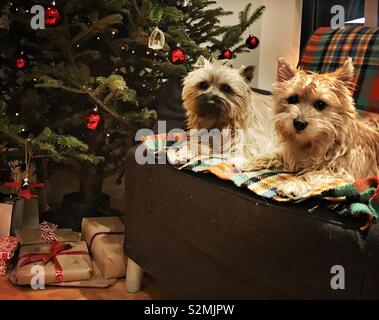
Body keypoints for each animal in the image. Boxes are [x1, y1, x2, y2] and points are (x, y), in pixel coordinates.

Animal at [243, 57, 379, 198]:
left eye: (320, 104)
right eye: (293, 99)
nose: (299, 123)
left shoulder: (341, 173)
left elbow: (310, 175)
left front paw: (292, 184)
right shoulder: (292, 155)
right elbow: (275, 154)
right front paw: (250, 161)